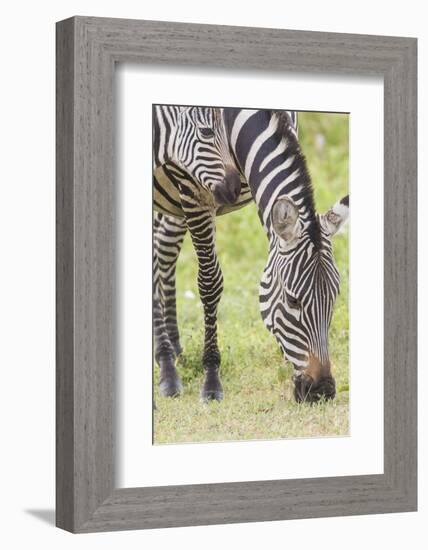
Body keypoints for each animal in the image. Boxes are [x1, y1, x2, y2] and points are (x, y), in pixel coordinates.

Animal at [153, 105, 348, 406]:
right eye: (292, 300)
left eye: (334, 297)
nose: (322, 391)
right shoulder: (194, 191)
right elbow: (210, 282)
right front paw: (211, 378)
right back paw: (166, 364)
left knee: (164, 246)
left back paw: (174, 349)